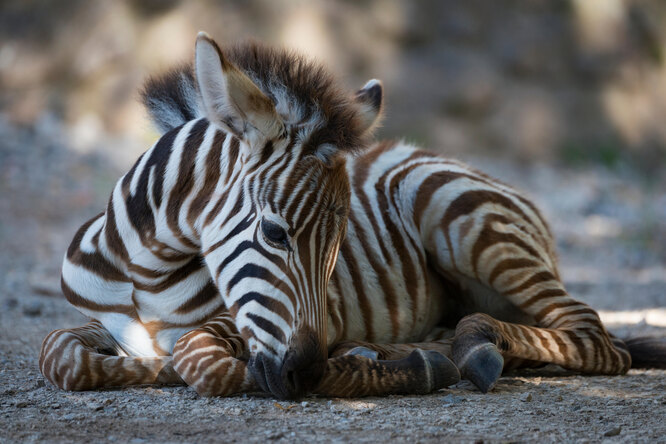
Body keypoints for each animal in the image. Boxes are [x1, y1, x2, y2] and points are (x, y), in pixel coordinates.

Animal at [39, 31, 660, 398]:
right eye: (275, 233)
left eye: (339, 244)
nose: (307, 373)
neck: (144, 268)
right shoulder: (95, 322)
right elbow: (61, 357)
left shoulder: (248, 324)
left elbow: (202, 361)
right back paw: (445, 347)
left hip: (460, 218)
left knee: (594, 335)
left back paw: (477, 347)